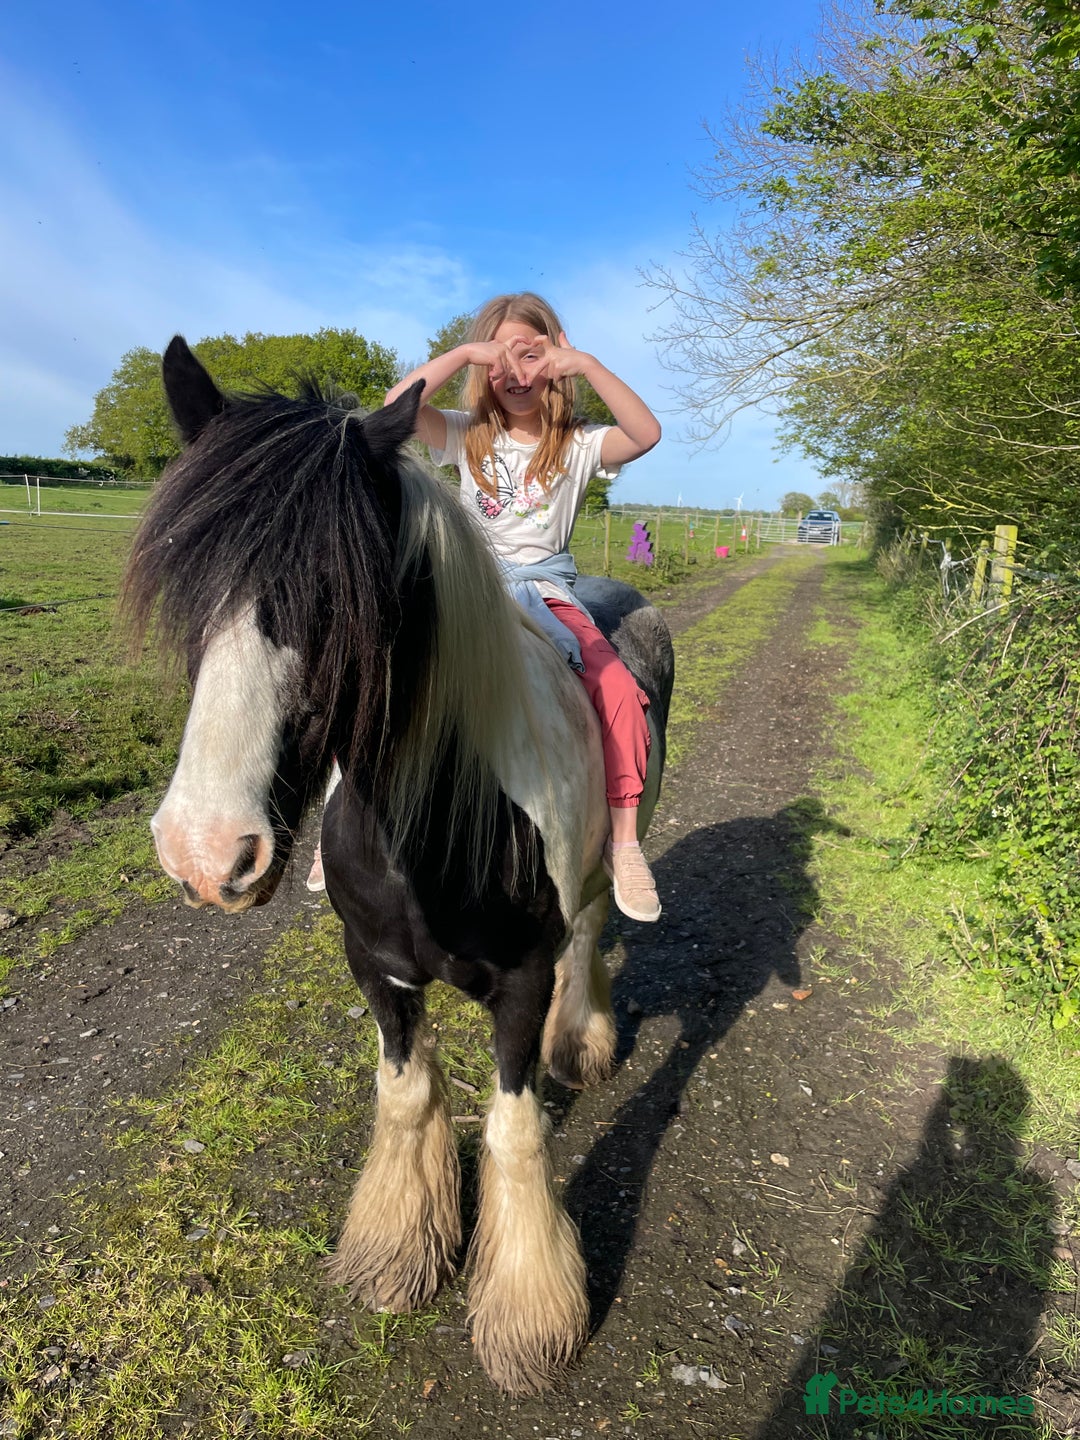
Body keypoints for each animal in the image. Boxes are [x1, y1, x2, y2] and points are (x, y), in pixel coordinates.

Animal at [124, 336, 675, 1396]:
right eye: (188, 579)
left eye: (342, 596)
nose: (206, 853)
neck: (433, 819)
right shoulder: (376, 968)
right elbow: (408, 1093)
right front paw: (396, 1254)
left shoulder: (519, 978)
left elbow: (512, 1126)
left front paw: (528, 1317)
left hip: (605, 864)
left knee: (593, 927)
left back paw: (580, 1040)